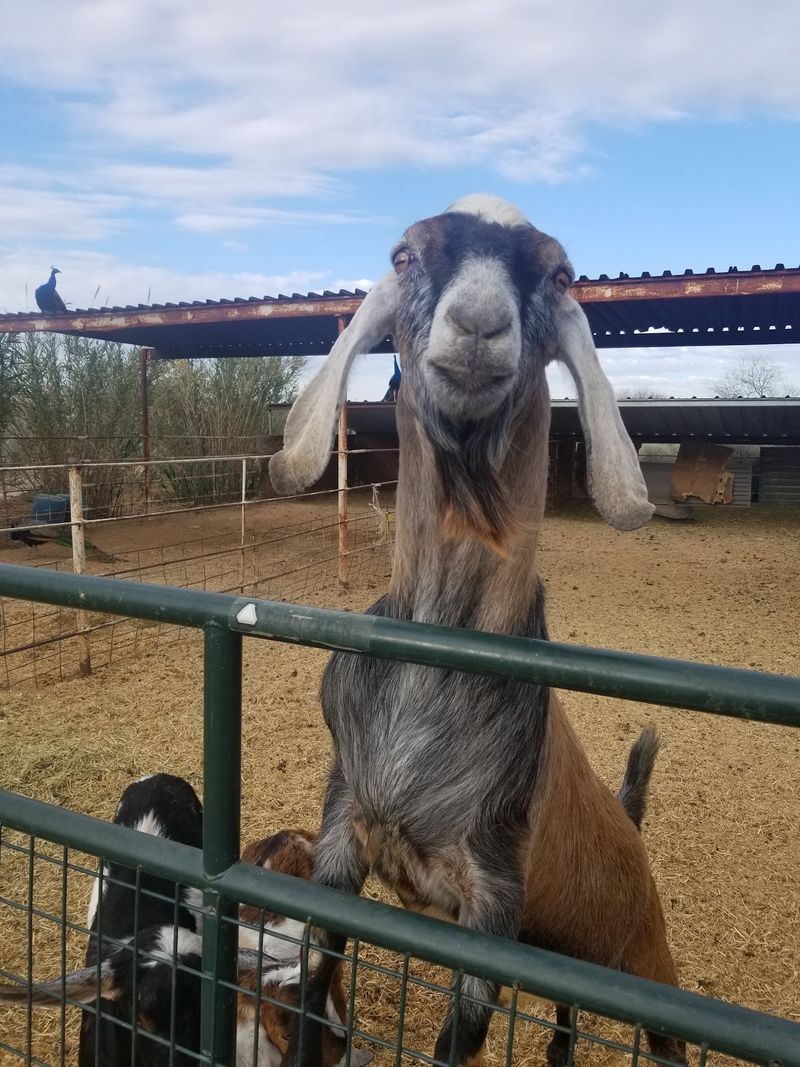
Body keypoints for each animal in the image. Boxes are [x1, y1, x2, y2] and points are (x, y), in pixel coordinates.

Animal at [268, 194, 684, 1066]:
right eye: (403, 256)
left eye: (558, 273)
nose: (479, 324)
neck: (434, 665)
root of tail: (629, 825)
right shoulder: (340, 833)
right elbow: (317, 979)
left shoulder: (492, 898)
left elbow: (458, 1040)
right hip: (562, 952)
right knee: (564, 1018)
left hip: (646, 958)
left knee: (670, 1039)